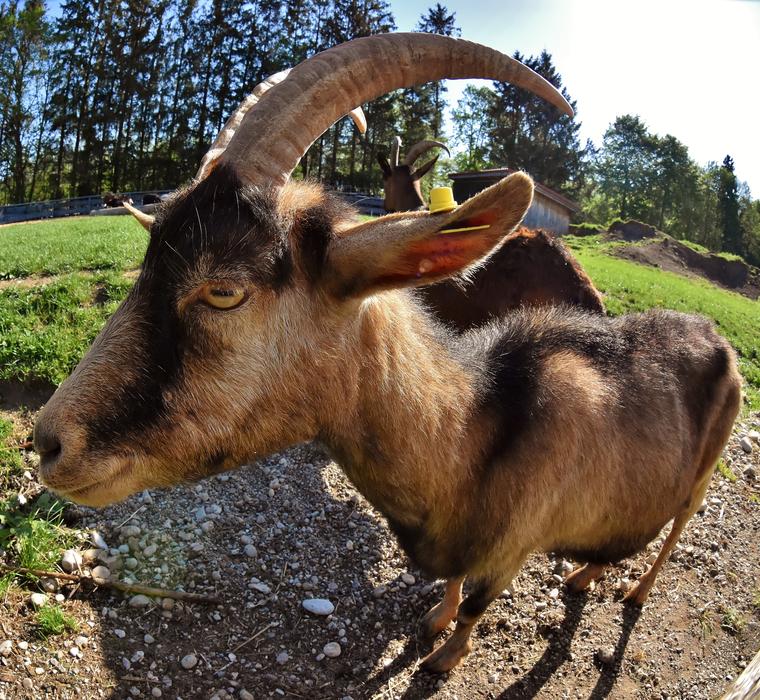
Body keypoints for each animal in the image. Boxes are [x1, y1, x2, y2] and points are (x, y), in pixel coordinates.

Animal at [34, 34, 741, 673]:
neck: (475, 432)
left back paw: (631, 590)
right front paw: (433, 621)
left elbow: (480, 602)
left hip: (702, 476)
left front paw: (443, 656)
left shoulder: (515, 544)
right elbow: (453, 586)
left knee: (676, 528)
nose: (49, 443)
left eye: (224, 290)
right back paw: (585, 576)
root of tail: (718, 341)